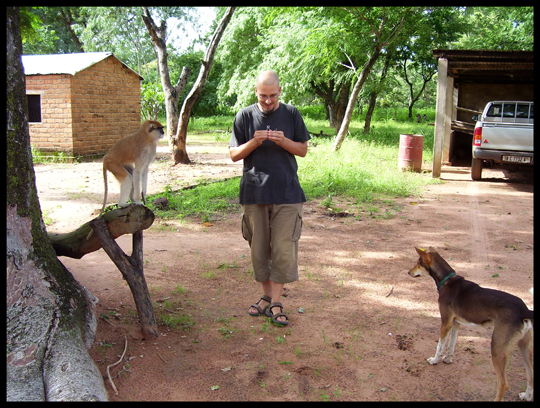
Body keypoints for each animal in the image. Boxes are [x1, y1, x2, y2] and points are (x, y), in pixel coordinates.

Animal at [410, 247, 532, 400]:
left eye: (417, 263)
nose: (408, 272)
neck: (447, 280)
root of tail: (525, 310)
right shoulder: (456, 323)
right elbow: (451, 344)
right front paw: (448, 359)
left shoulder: (446, 322)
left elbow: (440, 345)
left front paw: (434, 360)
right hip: (524, 348)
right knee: (531, 375)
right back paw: (526, 395)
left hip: (497, 348)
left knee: (503, 384)